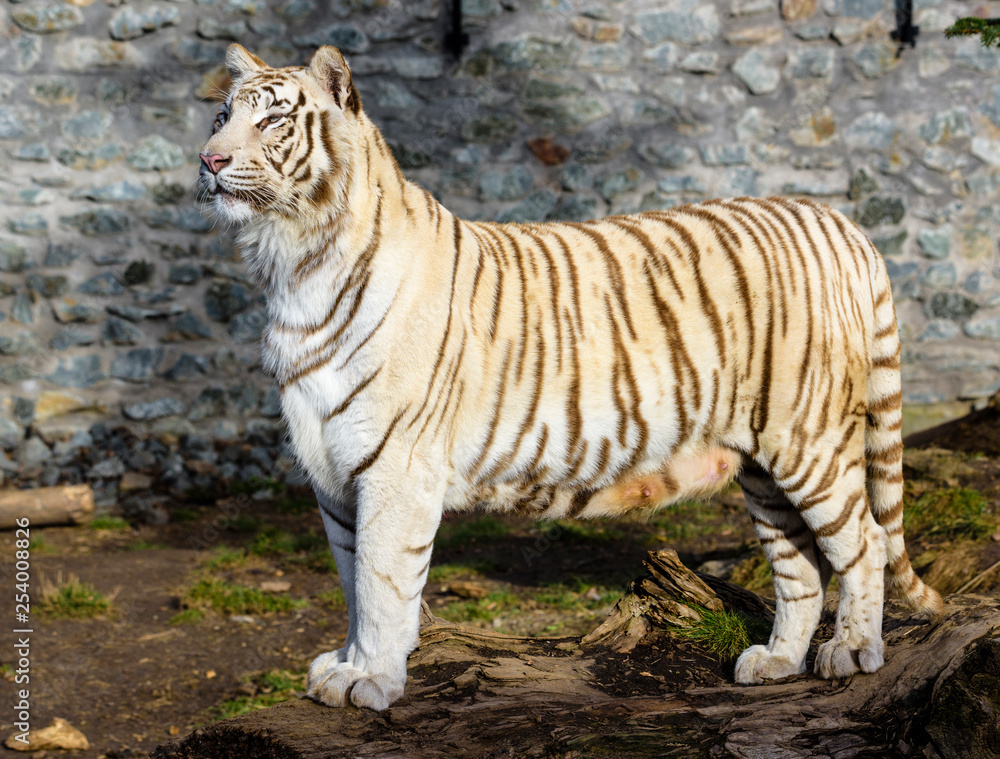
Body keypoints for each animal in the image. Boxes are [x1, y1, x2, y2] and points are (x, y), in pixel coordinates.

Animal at [198, 44, 943, 711]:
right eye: (221, 116)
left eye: (273, 120)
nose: (209, 160)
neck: (295, 263)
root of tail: (838, 219)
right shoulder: (331, 471)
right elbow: (352, 582)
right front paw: (347, 666)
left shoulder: (394, 467)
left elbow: (381, 583)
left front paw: (372, 680)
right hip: (760, 461)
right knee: (799, 563)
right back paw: (777, 660)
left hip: (807, 439)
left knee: (864, 542)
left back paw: (852, 651)